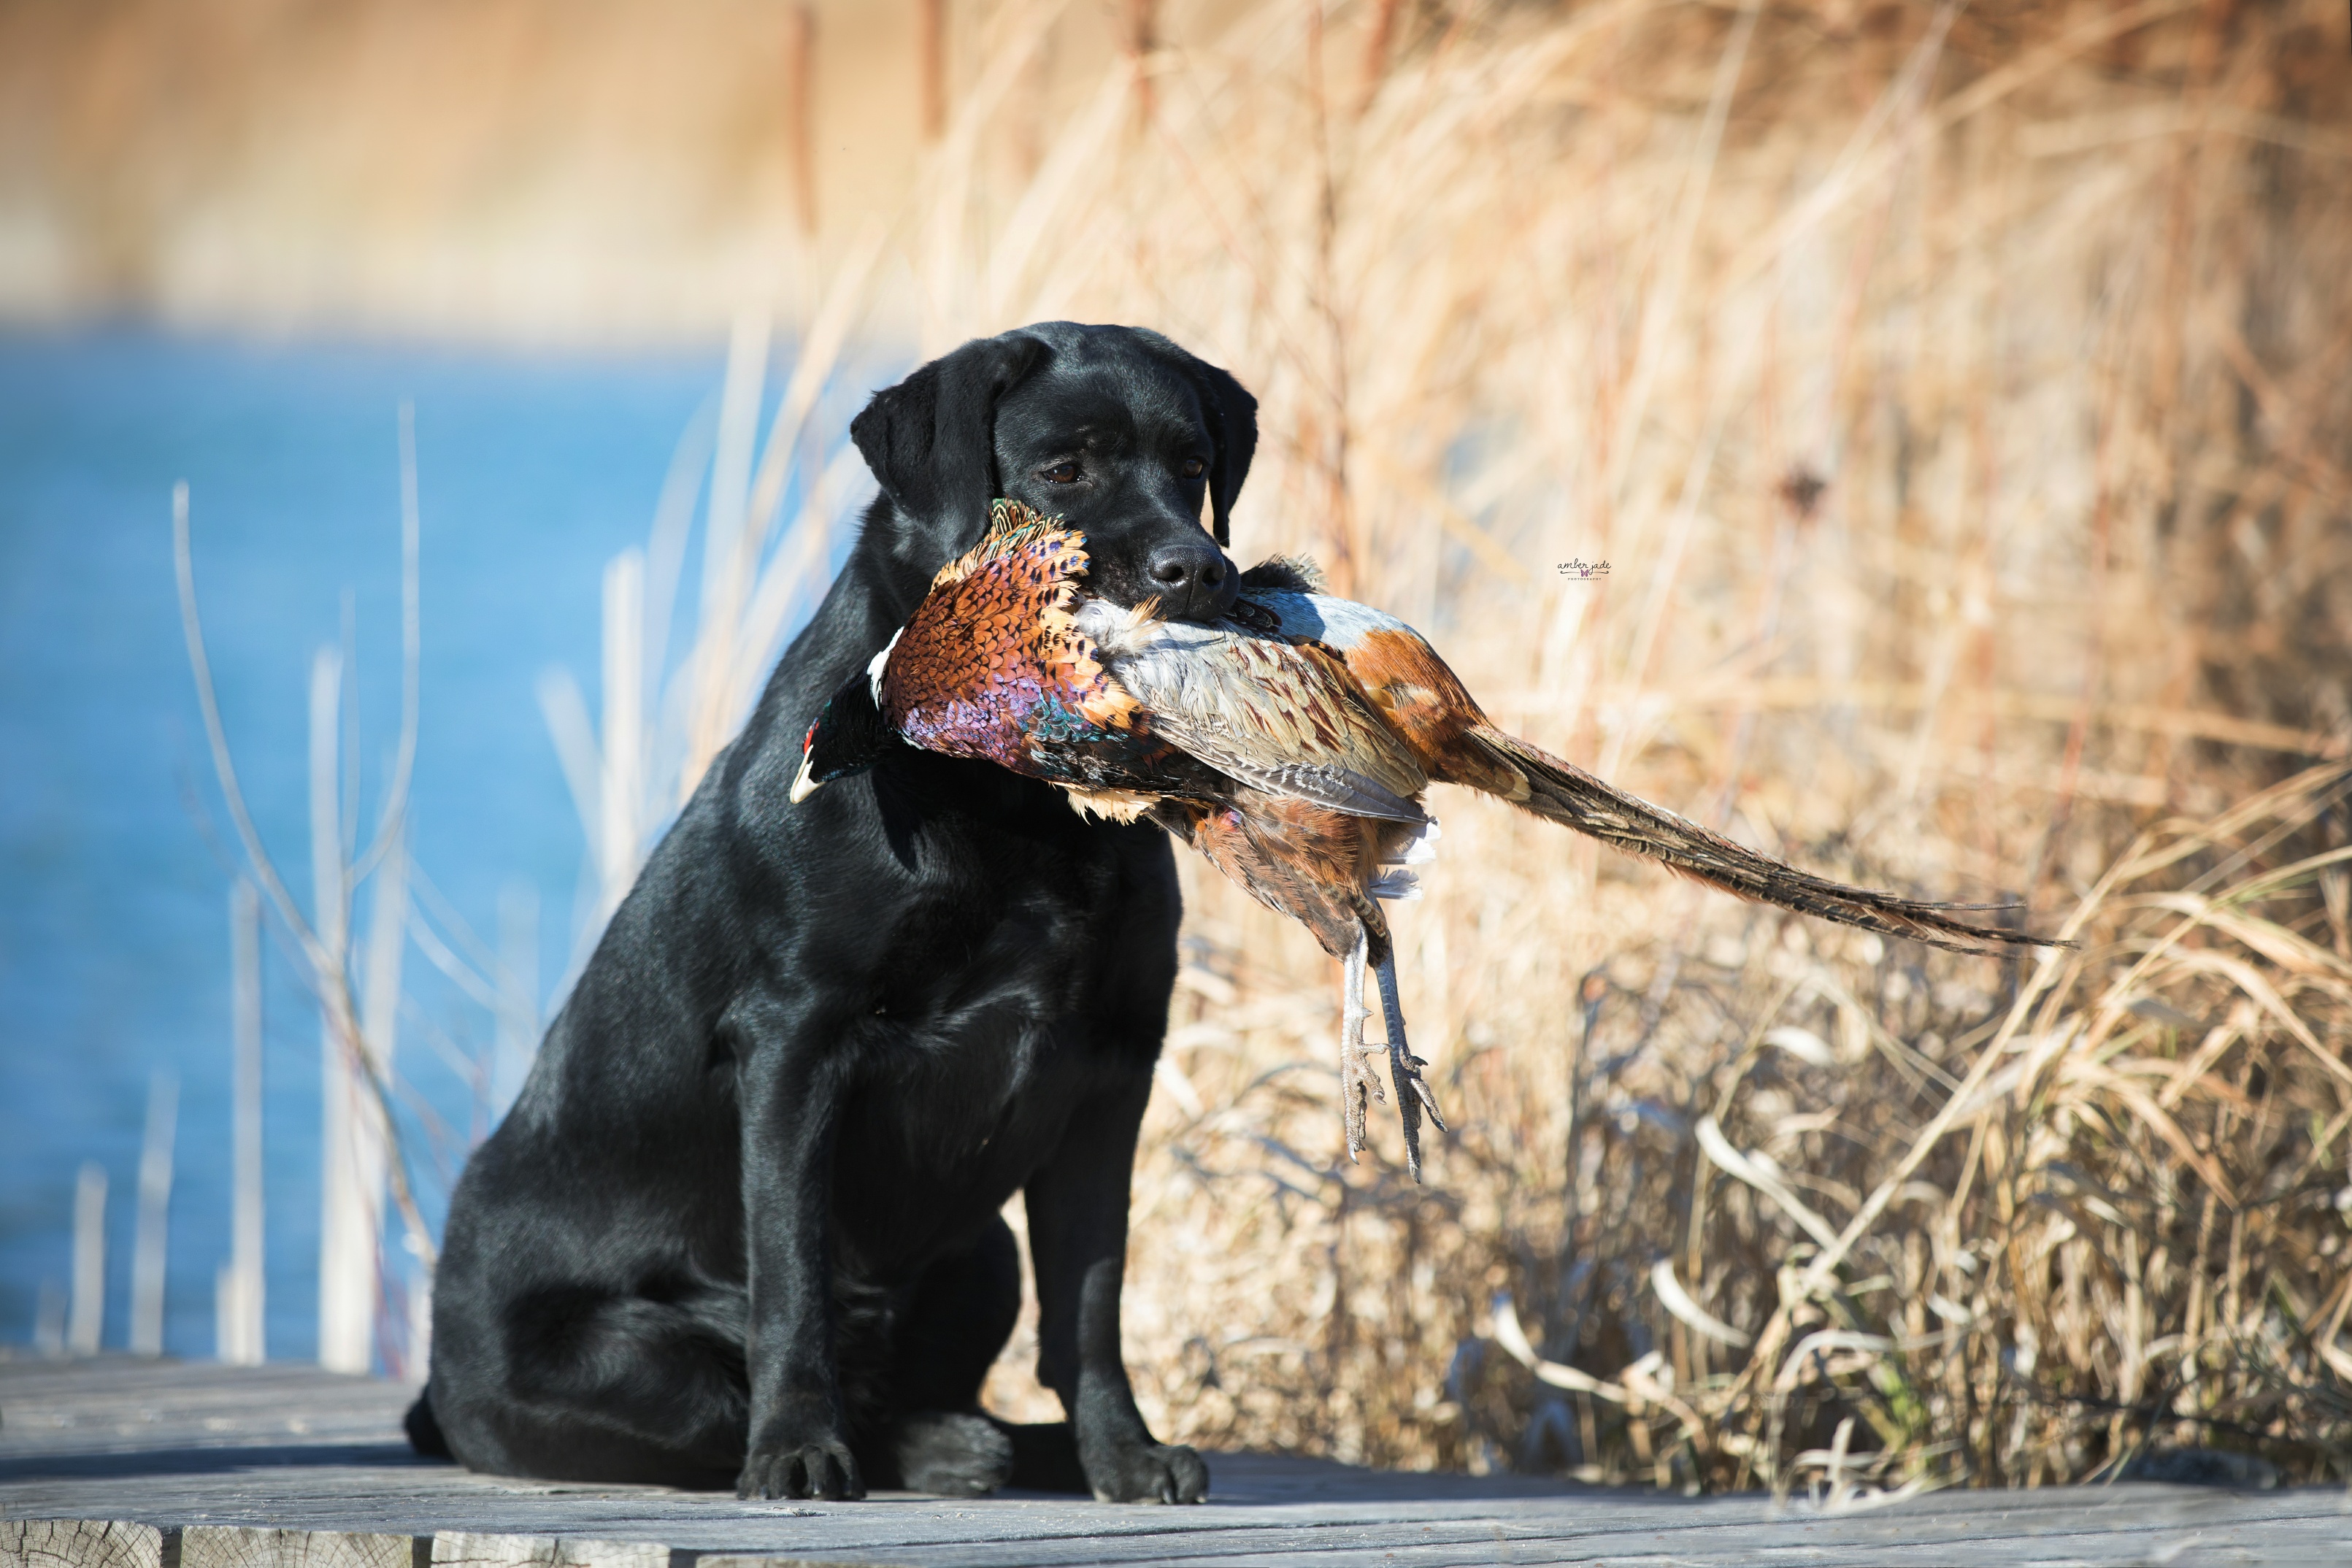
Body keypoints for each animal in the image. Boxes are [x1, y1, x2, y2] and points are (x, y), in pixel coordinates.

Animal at [404, 322, 1251, 1504]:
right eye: (1063, 470)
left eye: (1192, 466)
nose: (1198, 571)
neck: (1009, 796)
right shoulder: (797, 1038)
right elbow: (792, 1278)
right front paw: (800, 1448)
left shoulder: (1113, 1064)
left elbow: (1091, 1301)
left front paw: (1123, 1456)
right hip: (618, 1362)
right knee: (726, 1396)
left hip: (981, 1250)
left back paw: (981, 1445)